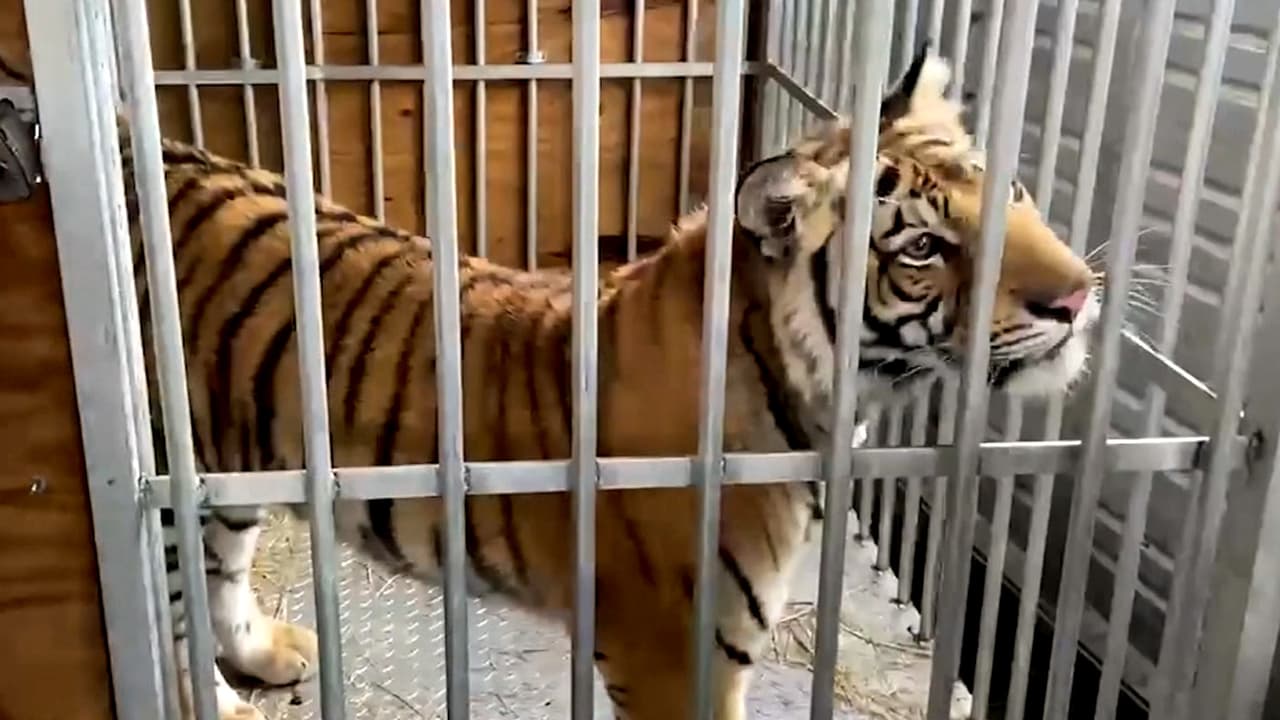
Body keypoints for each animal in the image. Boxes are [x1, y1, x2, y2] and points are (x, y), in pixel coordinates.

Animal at [121, 43, 1098, 720]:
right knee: (168, 614)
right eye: (924, 247)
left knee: (220, 573)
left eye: (1010, 191)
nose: (1079, 297)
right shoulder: (674, 655)